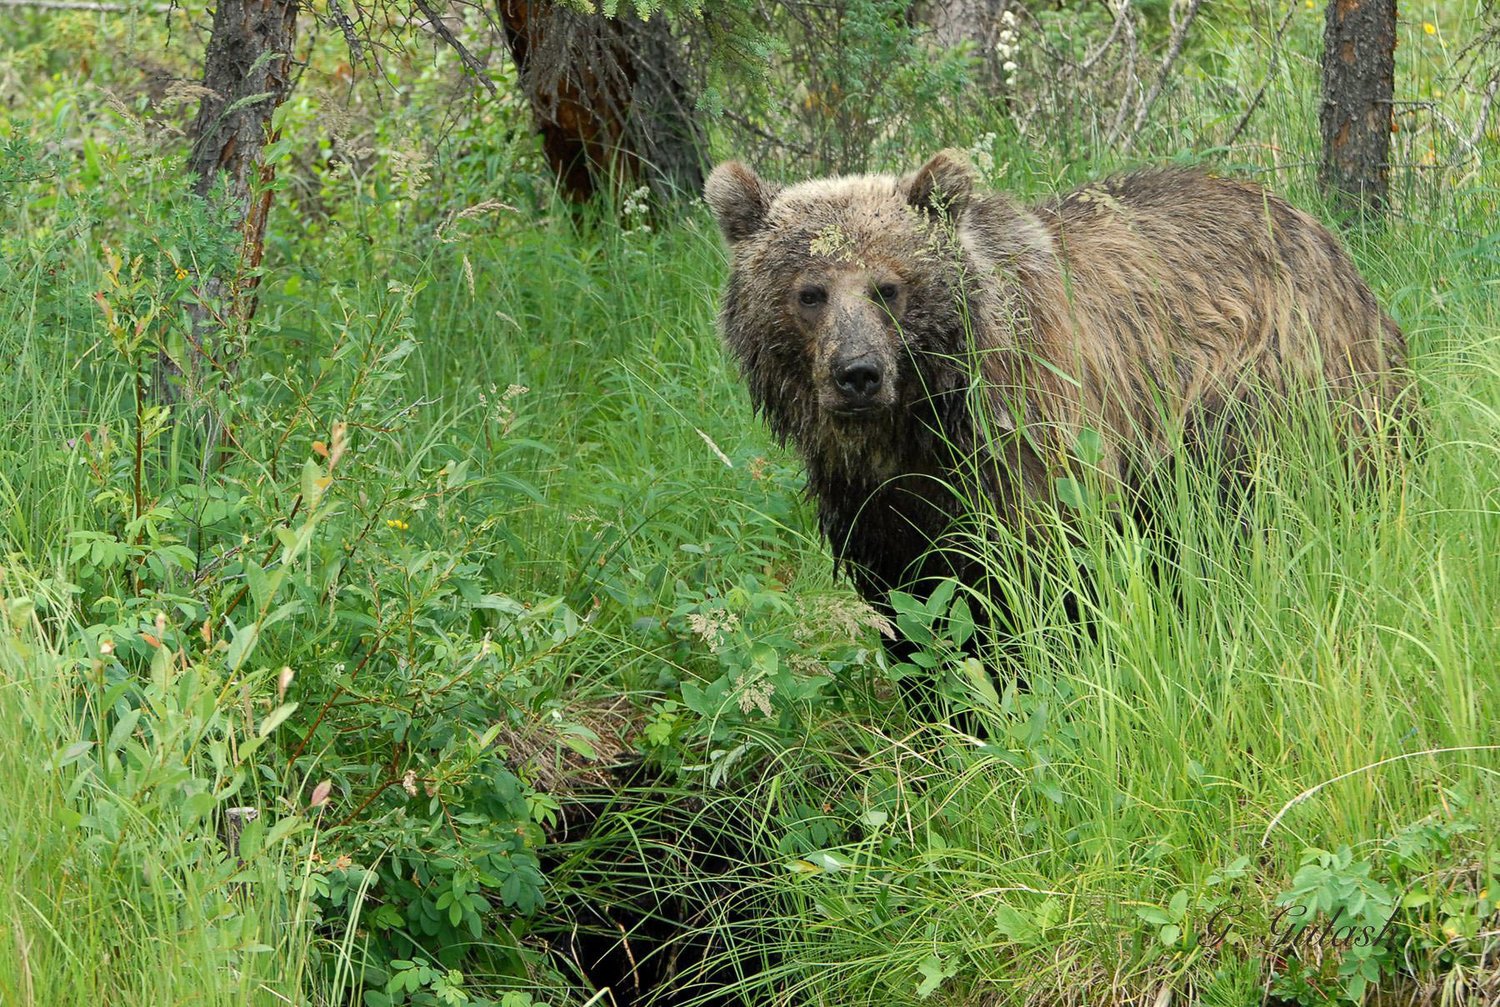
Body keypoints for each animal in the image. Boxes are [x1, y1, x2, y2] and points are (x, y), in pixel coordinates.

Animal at [703, 151, 1412, 718]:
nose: (858, 374)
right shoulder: (876, 503)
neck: (919, 423)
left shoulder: (1031, 445)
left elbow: (1042, 585)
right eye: (810, 291)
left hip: (1269, 393)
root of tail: (1323, 236)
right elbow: (909, 605)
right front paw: (937, 714)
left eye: (889, 287)